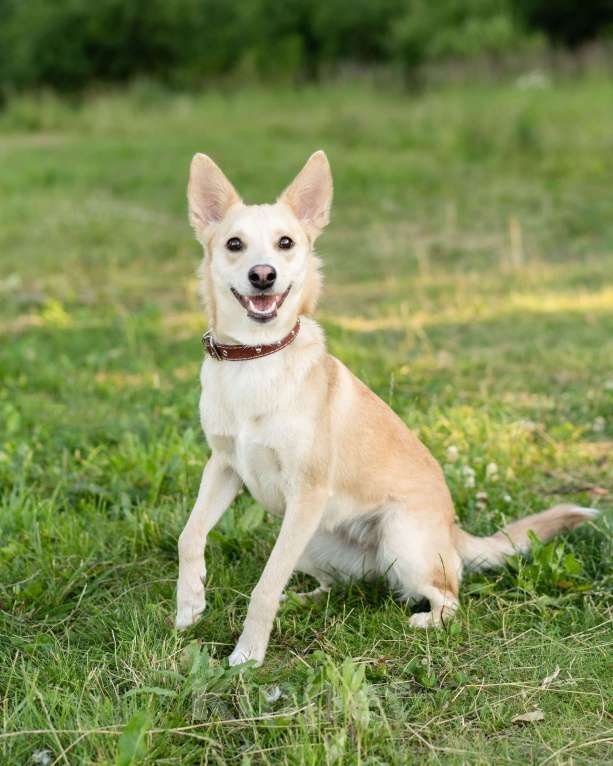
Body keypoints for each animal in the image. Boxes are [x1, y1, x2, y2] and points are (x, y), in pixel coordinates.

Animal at [175, 148, 596, 664]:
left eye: (285, 243)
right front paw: (190, 604)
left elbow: (264, 585)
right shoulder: (224, 466)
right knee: (339, 584)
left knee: (449, 595)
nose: (263, 275)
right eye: (234, 244)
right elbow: (190, 535)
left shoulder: (306, 490)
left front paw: (248, 655)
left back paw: (426, 619)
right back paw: (305, 599)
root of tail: (451, 529)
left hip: (398, 540)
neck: (256, 359)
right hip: (308, 538)